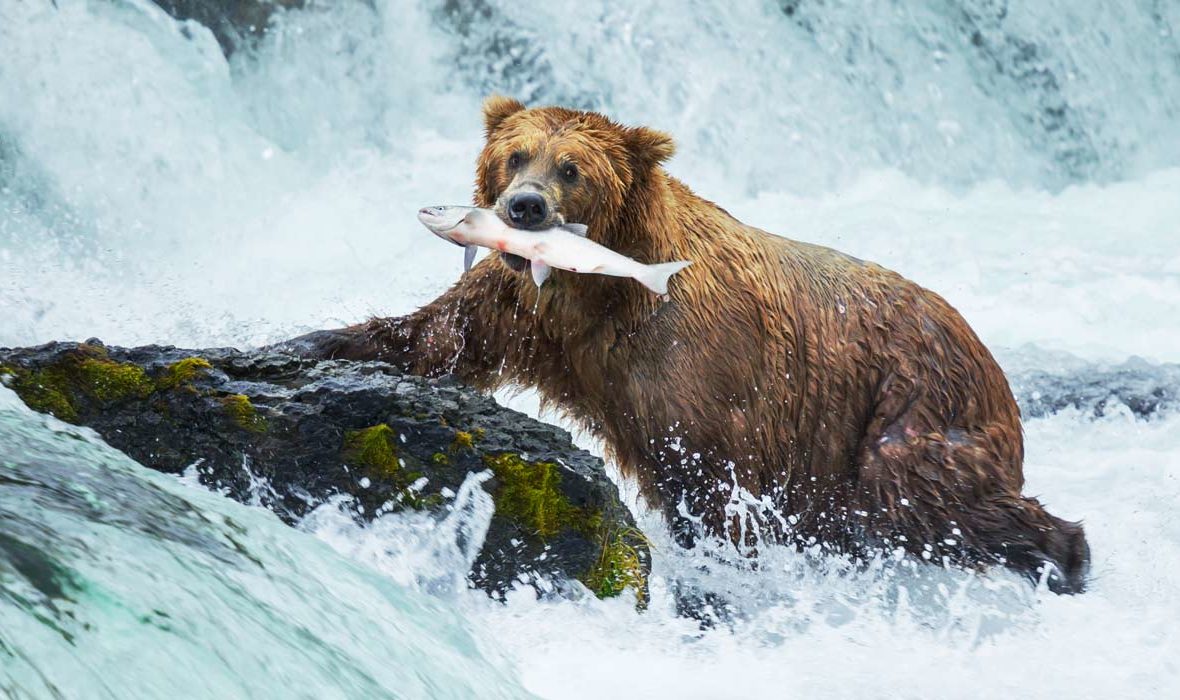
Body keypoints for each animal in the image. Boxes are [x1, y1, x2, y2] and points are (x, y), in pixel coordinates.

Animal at [284, 96, 1090, 593]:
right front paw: (310, 341)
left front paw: (718, 573)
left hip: (907, 402)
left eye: (571, 168)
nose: (524, 207)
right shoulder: (526, 311)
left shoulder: (699, 364)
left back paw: (1065, 554)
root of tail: (985, 351)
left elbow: (709, 478)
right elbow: (437, 337)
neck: (600, 288)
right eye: (515, 155)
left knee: (919, 494)